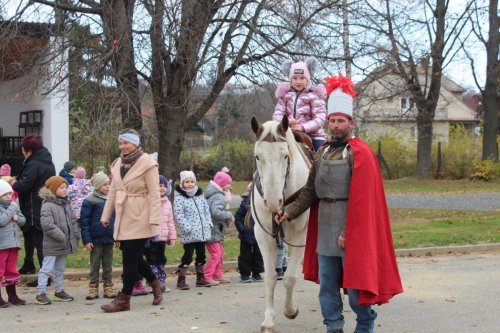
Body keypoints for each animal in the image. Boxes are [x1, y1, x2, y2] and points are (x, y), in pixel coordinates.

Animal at [252, 115, 310, 330]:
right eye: (257, 157)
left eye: (285, 156)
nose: (272, 202)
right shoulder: (263, 235)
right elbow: (270, 277)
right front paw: (269, 319)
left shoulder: (301, 235)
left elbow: (290, 277)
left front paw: (290, 310)